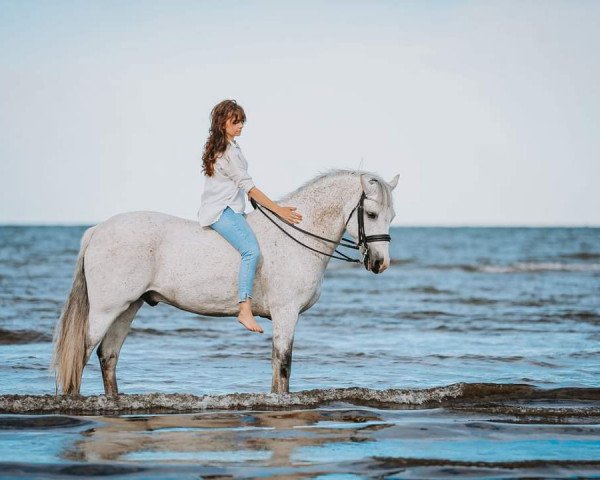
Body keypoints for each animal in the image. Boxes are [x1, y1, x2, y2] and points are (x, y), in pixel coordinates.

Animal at [51, 171, 398, 396]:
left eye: (392, 215)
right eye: (371, 213)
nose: (380, 263)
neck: (295, 236)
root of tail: (97, 230)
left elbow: (277, 365)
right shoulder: (286, 314)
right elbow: (283, 364)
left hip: (128, 308)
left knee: (108, 356)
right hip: (105, 310)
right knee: (81, 355)